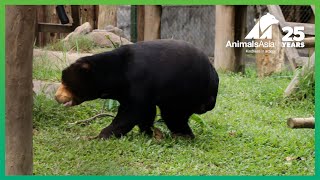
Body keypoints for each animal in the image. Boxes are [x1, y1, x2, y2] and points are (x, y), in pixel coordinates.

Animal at [55, 39, 220, 139]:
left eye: (66, 84)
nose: (57, 97)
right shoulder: (127, 92)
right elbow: (145, 112)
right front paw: (147, 132)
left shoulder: (139, 82)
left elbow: (131, 112)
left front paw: (102, 135)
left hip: (186, 91)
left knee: (174, 115)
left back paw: (184, 135)